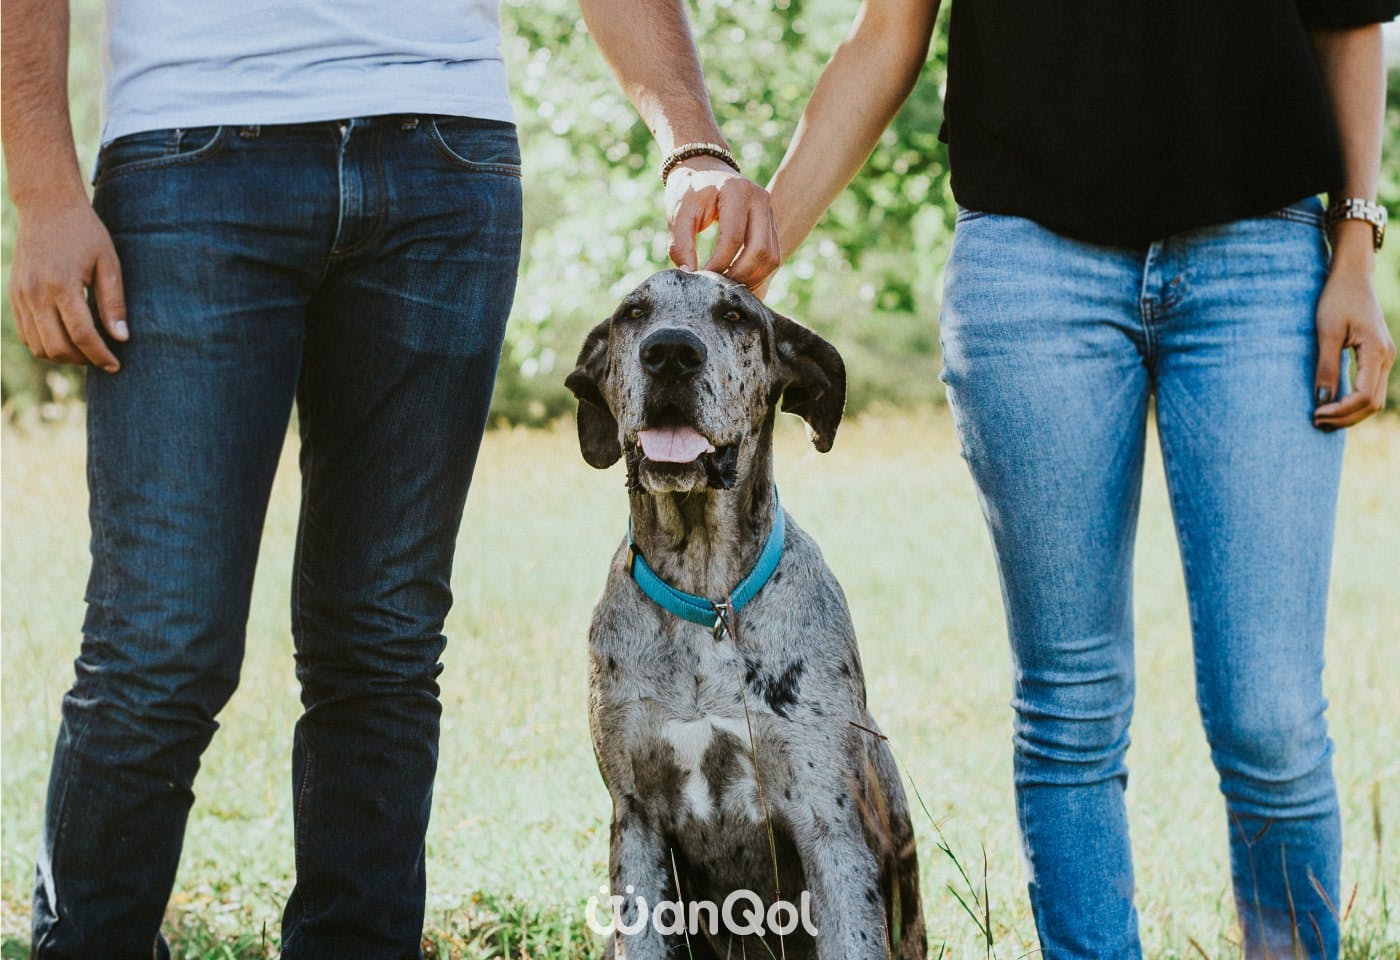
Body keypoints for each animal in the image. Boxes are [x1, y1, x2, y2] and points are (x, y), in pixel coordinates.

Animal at [562, 267, 924, 957]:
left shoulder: (830, 824)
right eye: (633, 313)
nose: (670, 353)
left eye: (735, 315)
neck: (709, 599)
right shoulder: (637, 824)